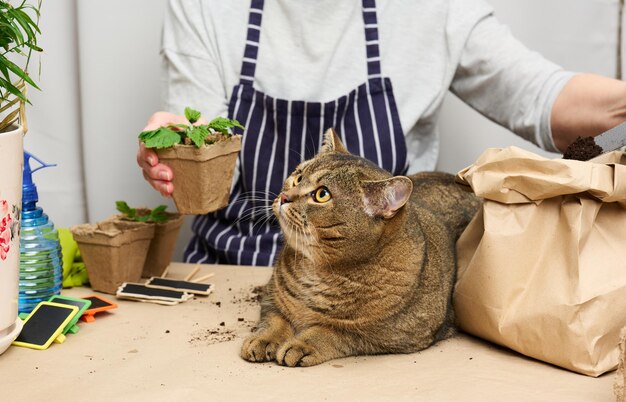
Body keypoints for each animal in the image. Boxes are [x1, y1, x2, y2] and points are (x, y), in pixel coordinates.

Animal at [239, 130, 478, 368]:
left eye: (322, 195)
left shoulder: (384, 336)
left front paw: (301, 344)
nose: (283, 197)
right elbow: (275, 320)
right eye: (298, 177)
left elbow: (330, 331)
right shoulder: (271, 298)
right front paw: (264, 339)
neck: (317, 271)